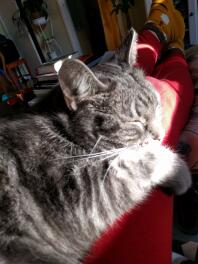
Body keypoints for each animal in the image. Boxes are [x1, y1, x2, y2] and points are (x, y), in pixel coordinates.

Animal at [0, 27, 192, 262]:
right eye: (135, 122)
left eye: (156, 105)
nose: (161, 134)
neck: (63, 132)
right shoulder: (86, 194)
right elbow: (141, 160)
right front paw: (179, 170)